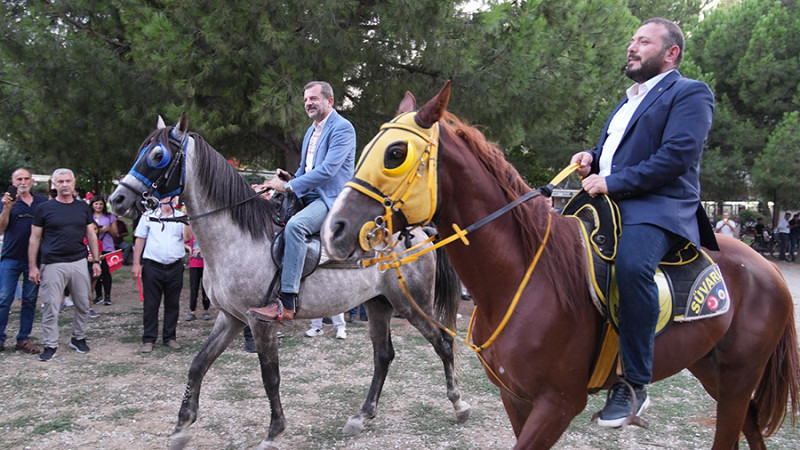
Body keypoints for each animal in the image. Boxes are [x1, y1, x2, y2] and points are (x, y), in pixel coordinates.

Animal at [108, 114, 468, 448]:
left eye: (157, 155)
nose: (117, 200)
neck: (236, 237)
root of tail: (420, 231)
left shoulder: (259, 321)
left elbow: (270, 377)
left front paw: (273, 432)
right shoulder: (231, 317)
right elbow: (198, 365)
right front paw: (181, 428)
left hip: (410, 303)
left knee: (442, 342)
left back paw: (458, 404)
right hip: (378, 304)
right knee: (383, 356)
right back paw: (362, 415)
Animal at [320, 81, 800, 450]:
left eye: (395, 153)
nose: (334, 229)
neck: (521, 280)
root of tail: (769, 269)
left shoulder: (559, 404)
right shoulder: (518, 398)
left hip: (737, 377)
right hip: (710, 367)